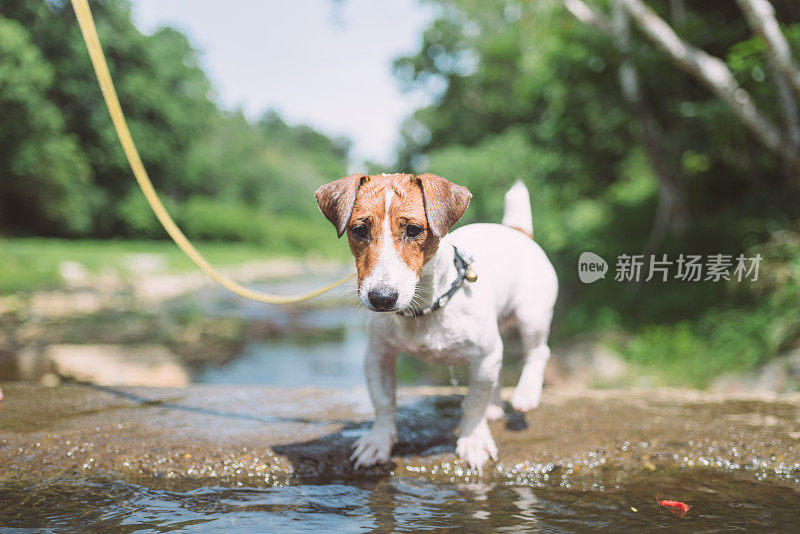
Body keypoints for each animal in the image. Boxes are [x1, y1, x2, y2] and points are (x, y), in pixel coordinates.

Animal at [312, 175, 556, 474]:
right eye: (359, 230)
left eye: (414, 230)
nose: (382, 298)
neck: (425, 308)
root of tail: (517, 231)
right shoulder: (378, 355)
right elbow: (383, 402)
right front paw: (378, 441)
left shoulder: (483, 354)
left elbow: (473, 403)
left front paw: (473, 440)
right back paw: (495, 405)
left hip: (531, 316)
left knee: (538, 352)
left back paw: (525, 394)